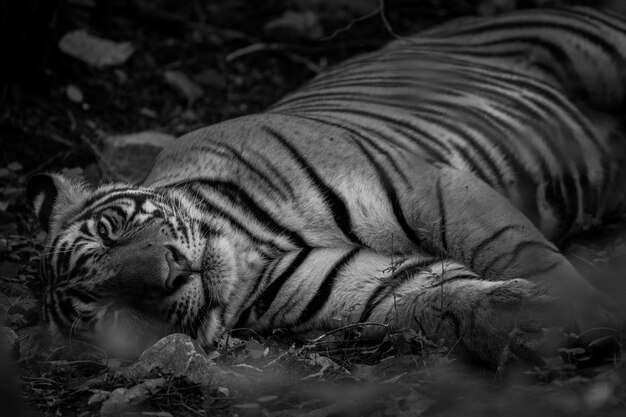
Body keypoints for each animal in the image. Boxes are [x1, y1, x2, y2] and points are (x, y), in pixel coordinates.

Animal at [26, 5, 624, 364]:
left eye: (109, 231)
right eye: (115, 314)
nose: (171, 271)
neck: (253, 249)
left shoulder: (432, 186)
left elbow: (514, 249)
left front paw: (581, 312)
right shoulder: (358, 283)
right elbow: (439, 299)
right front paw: (528, 323)